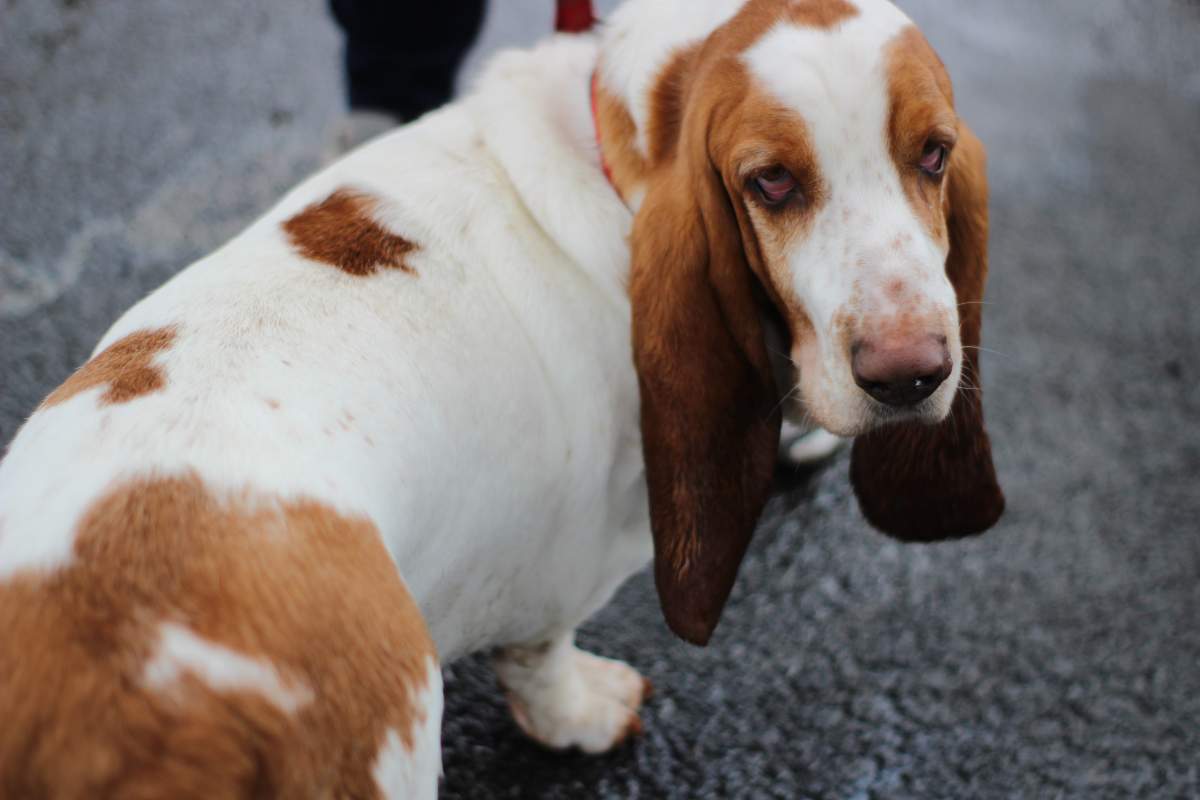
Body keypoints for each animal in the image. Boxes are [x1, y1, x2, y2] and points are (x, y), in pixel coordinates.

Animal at [0, 3, 1003, 796]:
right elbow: (542, 654)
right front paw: (584, 714)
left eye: (934, 154)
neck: (617, 154)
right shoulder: (566, 563)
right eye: (772, 182)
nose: (909, 374)